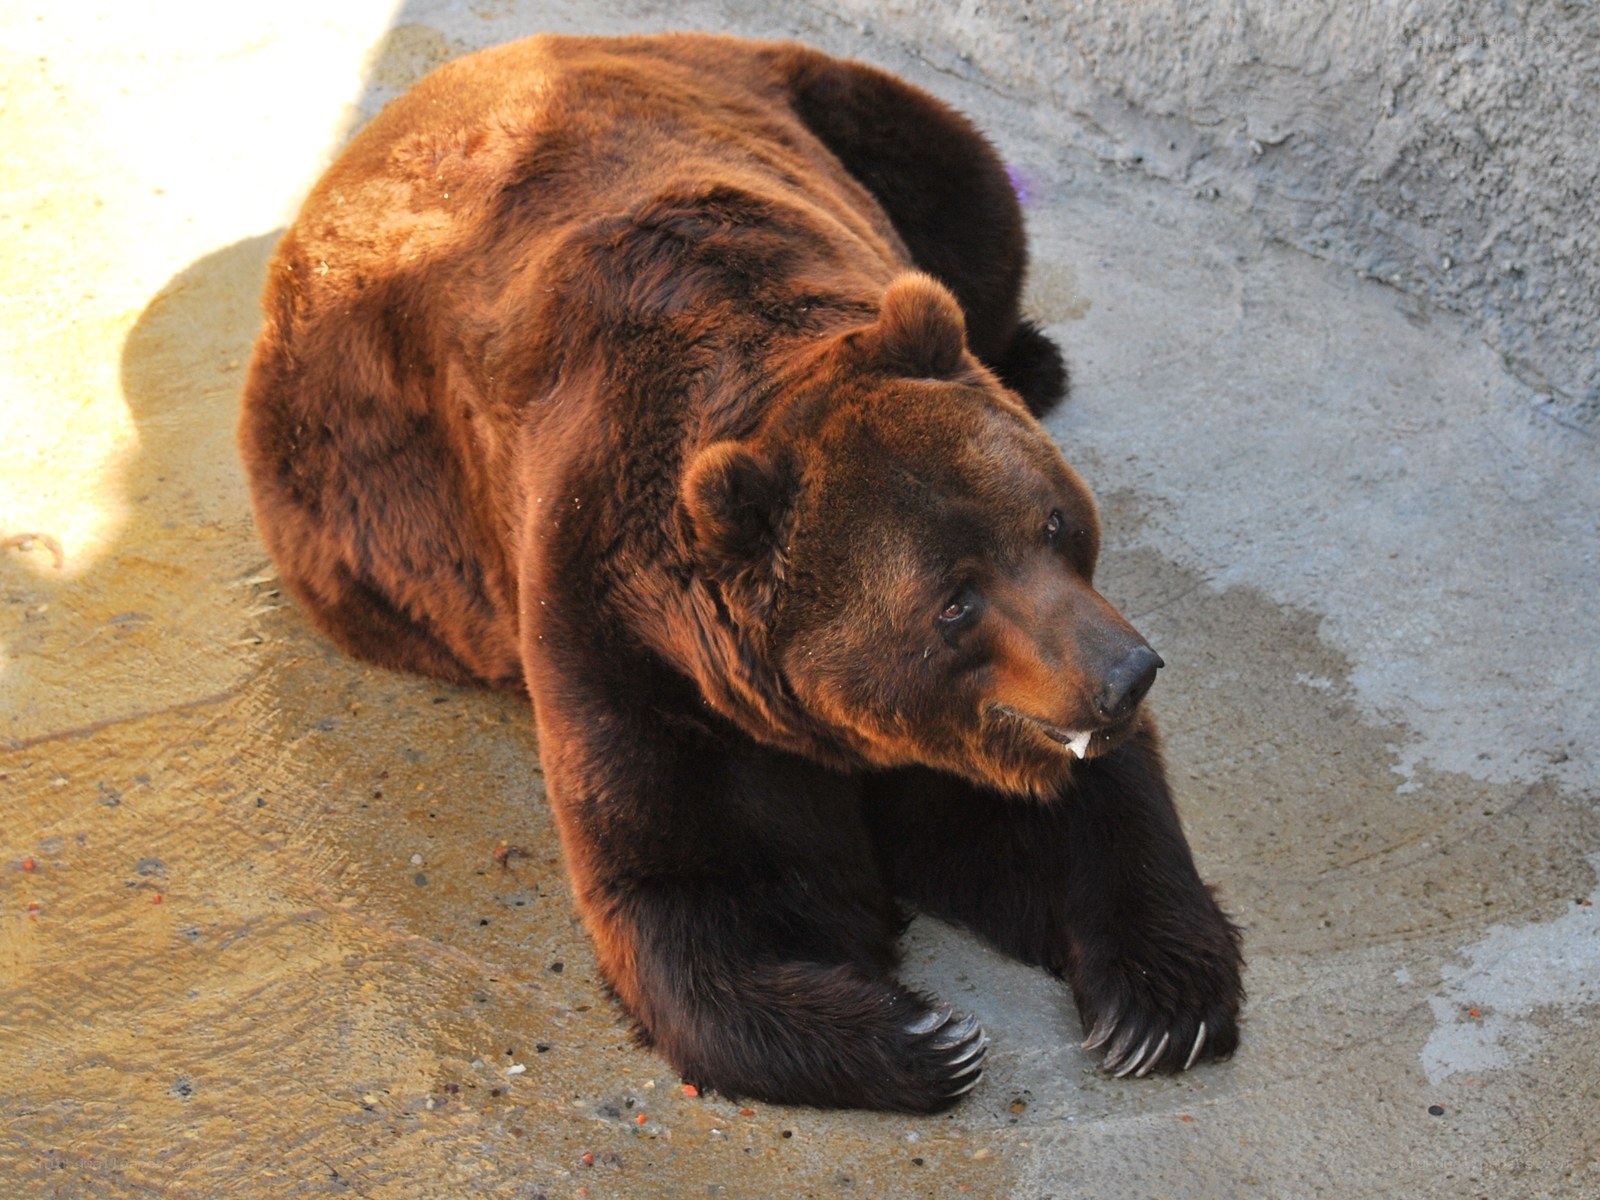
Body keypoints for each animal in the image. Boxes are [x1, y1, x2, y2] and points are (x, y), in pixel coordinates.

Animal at [238, 32, 1244, 1113]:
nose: (1124, 674)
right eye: (954, 601)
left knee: (973, 205)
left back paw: (1033, 355)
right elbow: (708, 882)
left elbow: (1085, 815)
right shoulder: (638, 649)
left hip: (851, 113)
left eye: (1055, 521)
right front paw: (920, 1034)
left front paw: (1159, 1004)